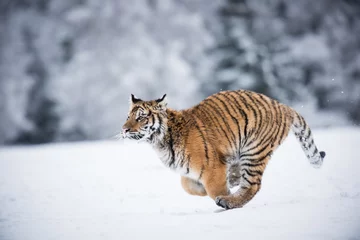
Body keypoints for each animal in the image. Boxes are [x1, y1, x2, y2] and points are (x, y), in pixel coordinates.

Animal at [121, 90, 326, 210]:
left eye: (141, 117)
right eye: (128, 116)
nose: (124, 129)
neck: (160, 142)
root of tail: (282, 106)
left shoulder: (212, 166)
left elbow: (214, 189)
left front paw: (224, 194)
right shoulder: (188, 171)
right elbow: (187, 186)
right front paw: (226, 183)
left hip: (253, 151)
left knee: (253, 185)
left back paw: (229, 201)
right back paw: (234, 180)